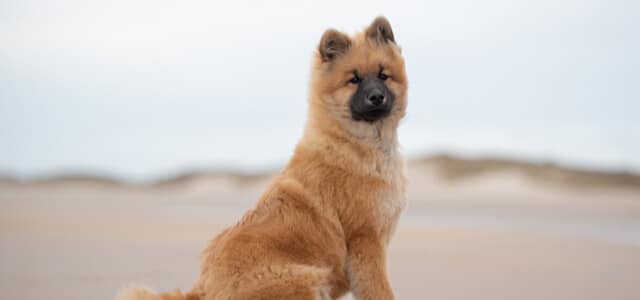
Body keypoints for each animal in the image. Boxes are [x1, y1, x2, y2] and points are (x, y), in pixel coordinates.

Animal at [117, 16, 408, 300]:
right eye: (354, 80)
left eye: (383, 76)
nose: (376, 97)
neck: (355, 143)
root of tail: (202, 290)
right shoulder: (365, 241)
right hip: (307, 279)